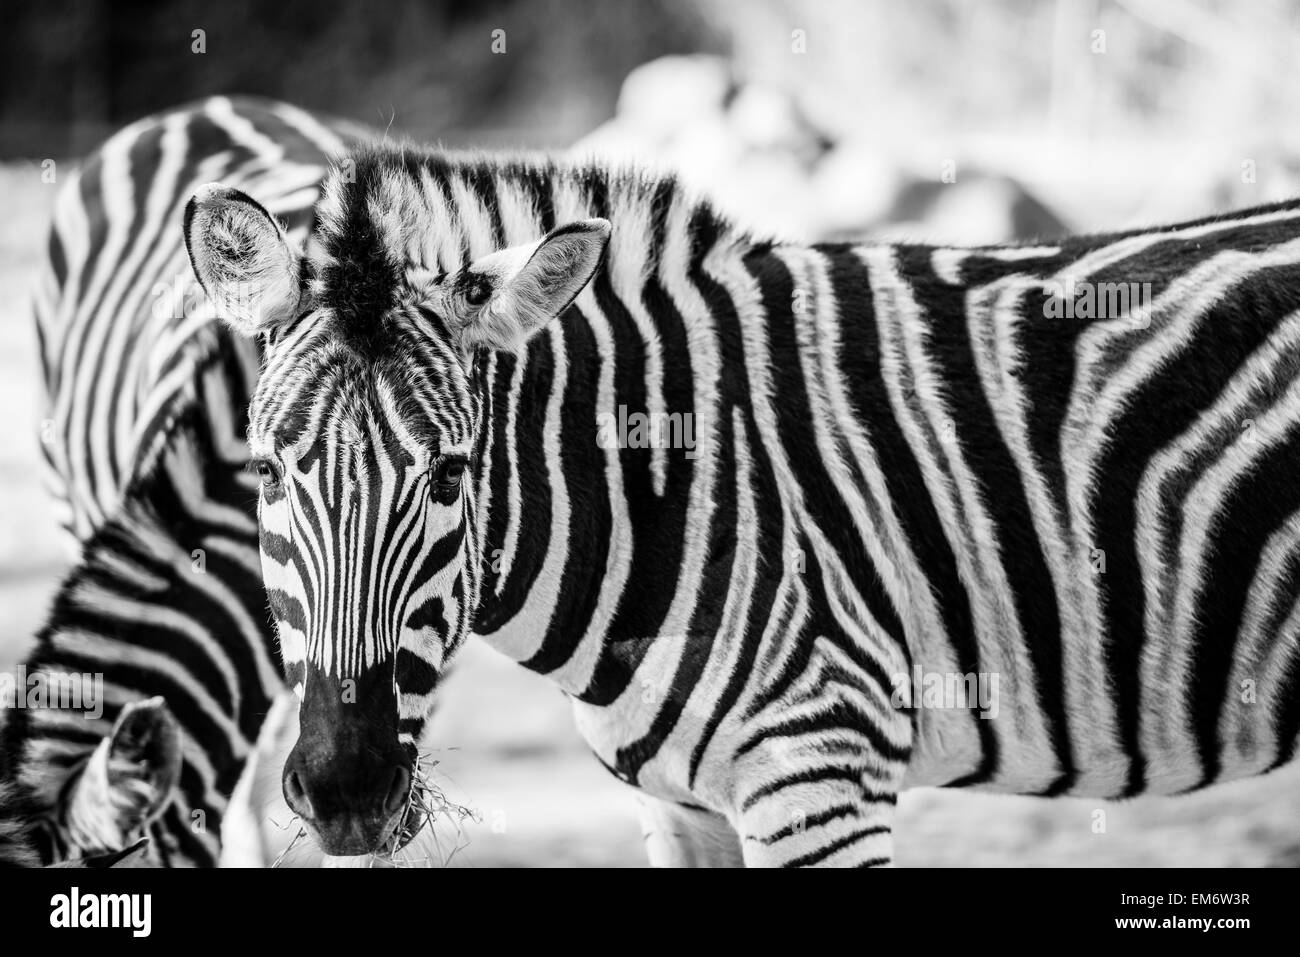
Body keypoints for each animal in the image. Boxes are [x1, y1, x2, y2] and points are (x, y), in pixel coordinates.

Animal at [182, 139, 1300, 867]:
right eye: (269, 476)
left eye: (451, 476)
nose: (347, 794)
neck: (661, 487)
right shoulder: (680, 805)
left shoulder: (821, 771)